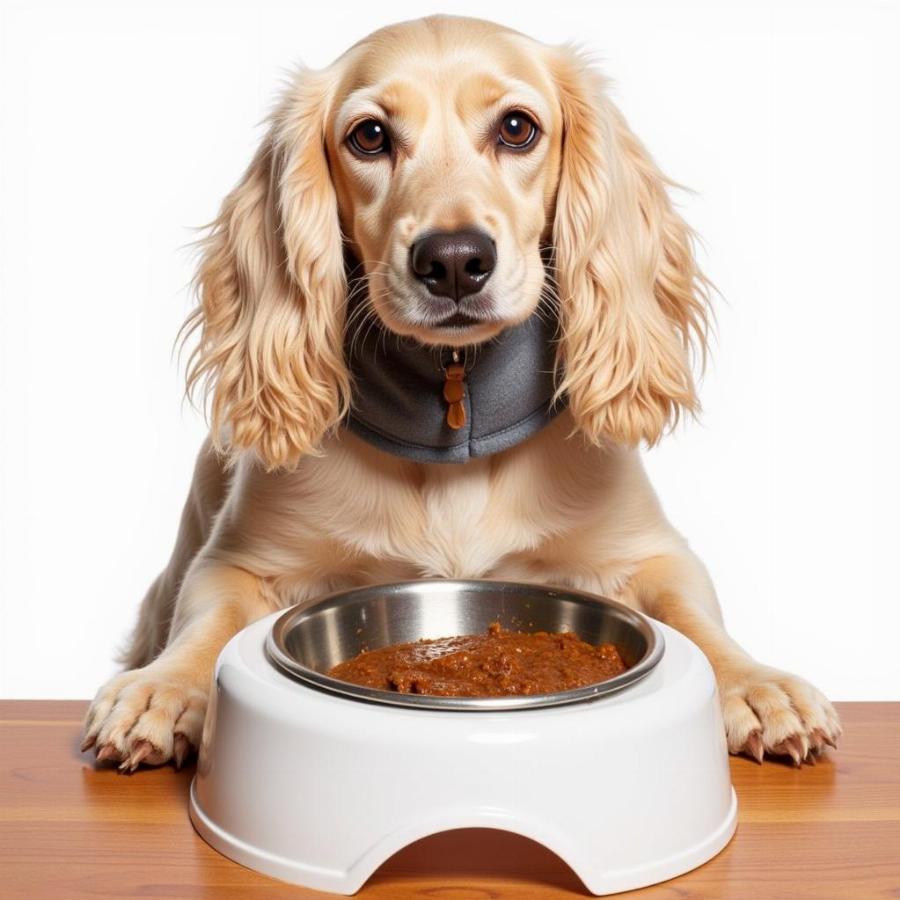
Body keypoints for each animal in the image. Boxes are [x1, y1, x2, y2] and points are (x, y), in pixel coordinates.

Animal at [81, 14, 840, 768]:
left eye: (517, 128)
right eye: (369, 136)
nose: (452, 262)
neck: (453, 414)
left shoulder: (649, 554)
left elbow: (696, 619)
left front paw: (757, 684)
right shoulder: (236, 565)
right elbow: (208, 622)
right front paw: (162, 689)